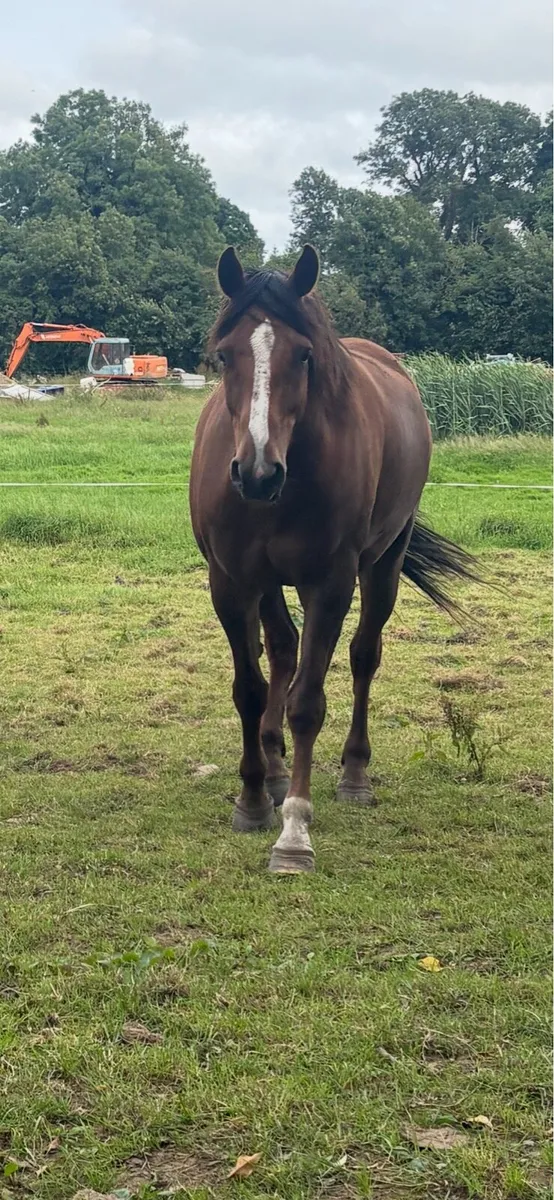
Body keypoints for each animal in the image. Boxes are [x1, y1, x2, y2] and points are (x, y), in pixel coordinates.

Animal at [190, 244, 475, 874]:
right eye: (224, 355)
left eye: (304, 355)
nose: (257, 473)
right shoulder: (232, 583)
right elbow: (250, 689)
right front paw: (253, 799)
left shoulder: (330, 585)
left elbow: (307, 704)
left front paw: (294, 832)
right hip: (270, 583)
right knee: (282, 650)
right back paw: (273, 769)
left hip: (383, 564)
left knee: (364, 656)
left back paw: (353, 775)